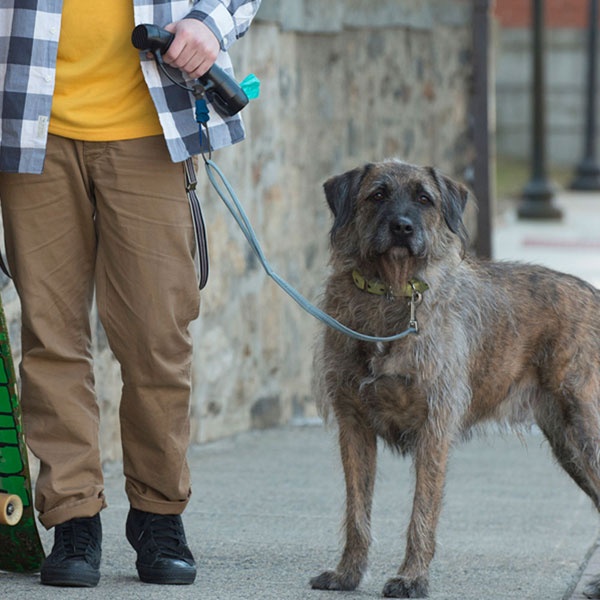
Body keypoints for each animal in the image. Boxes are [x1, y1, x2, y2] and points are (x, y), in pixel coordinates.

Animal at [310, 159, 600, 600]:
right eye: (377, 194)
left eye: (424, 198)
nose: (402, 227)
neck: (391, 294)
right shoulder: (354, 426)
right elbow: (357, 511)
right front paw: (348, 574)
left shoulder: (434, 426)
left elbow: (422, 512)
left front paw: (411, 578)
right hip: (569, 443)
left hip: (586, 430)